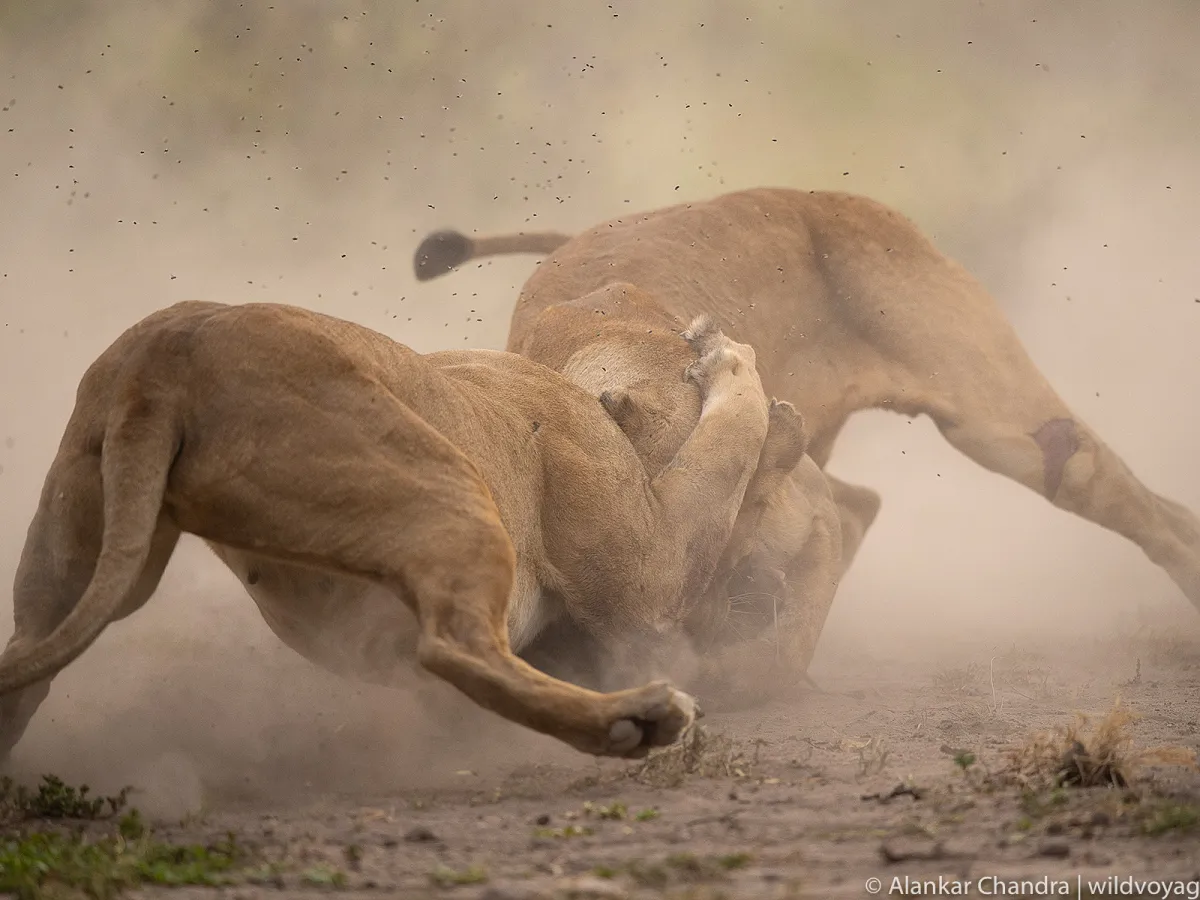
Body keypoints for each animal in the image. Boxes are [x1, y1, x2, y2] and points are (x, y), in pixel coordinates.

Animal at [0, 299, 799, 764]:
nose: (765, 596)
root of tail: (163, 368)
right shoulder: (651, 578)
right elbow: (724, 449)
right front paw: (733, 363)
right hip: (444, 489)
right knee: (454, 646)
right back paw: (637, 721)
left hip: (80, 553)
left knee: (29, 655)